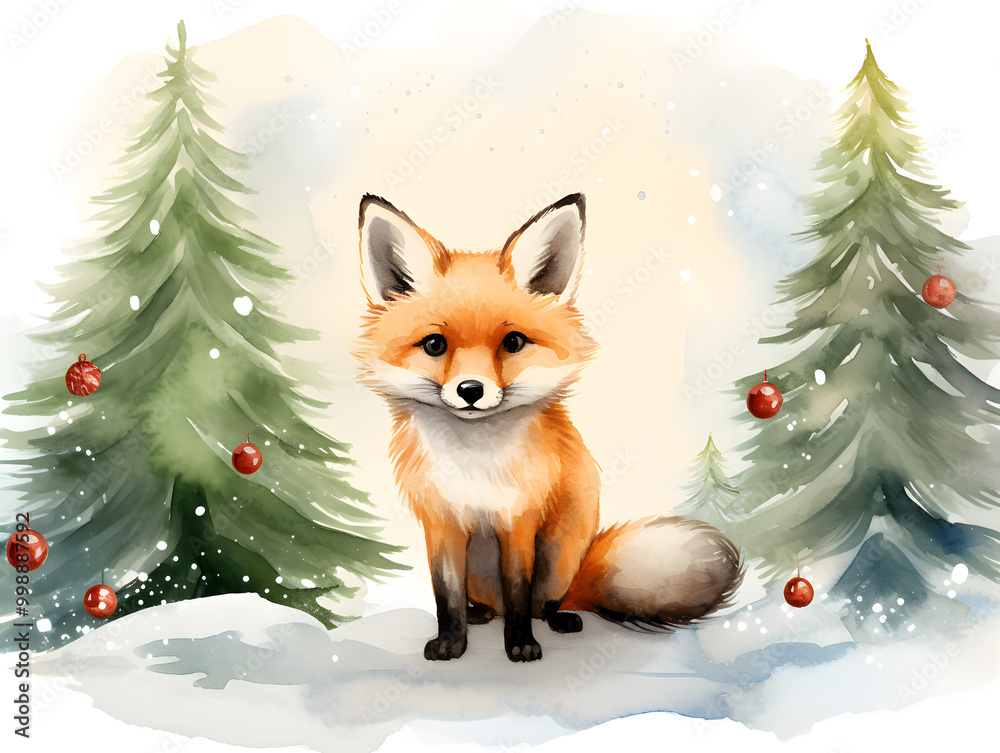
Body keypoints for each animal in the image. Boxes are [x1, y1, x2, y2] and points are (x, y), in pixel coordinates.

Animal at [355, 192, 743, 662]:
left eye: (513, 342)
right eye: (434, 345)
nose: (470, 390)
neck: (474, 465)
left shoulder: (520, 521)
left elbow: (519, 592)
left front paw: (521, 646)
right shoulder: (441, 524)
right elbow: (445, 596)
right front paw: (451, 643)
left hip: (560, 554)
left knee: (542, 602)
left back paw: (558, 619)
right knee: (490, 603)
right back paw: (482, 614)